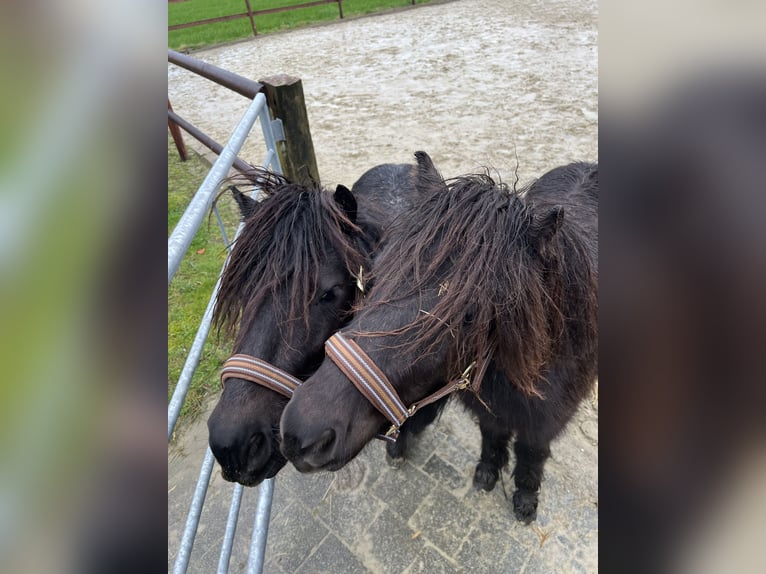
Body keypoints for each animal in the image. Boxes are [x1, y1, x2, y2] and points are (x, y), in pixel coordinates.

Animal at [282, 152, 600, 520]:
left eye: (471, 314)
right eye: (374, 274)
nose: (300, 430)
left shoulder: (543, 422)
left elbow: (531, 454)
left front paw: (525, 497)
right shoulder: (489, 409)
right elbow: (492, 436)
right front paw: (487, 472)